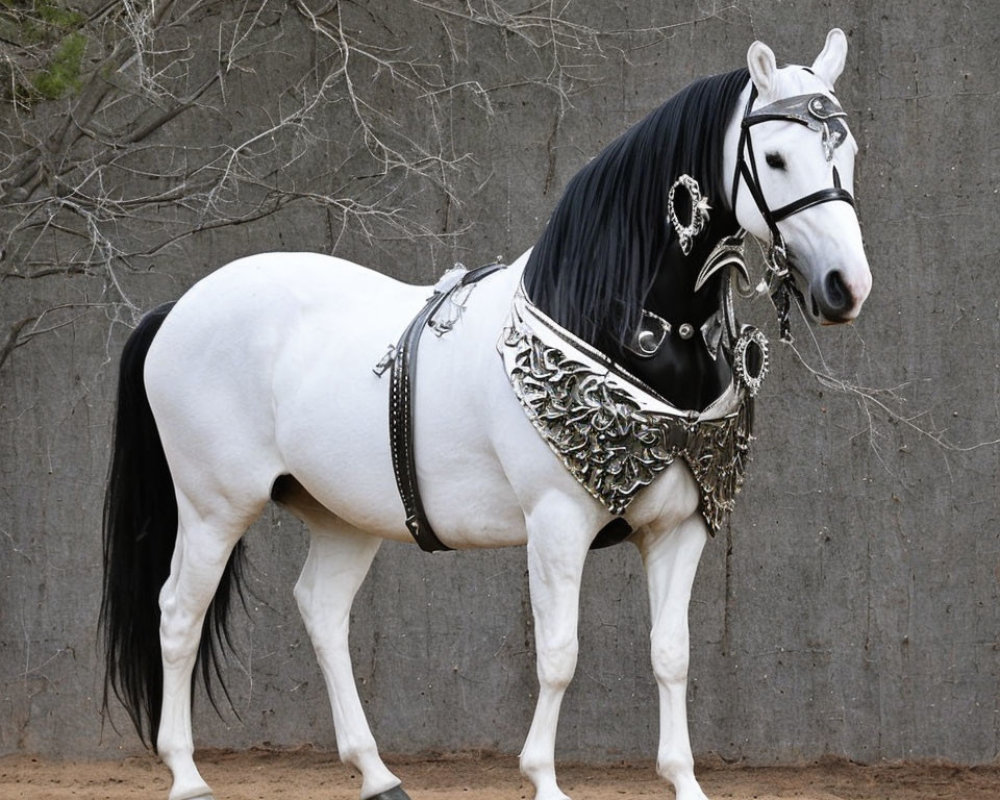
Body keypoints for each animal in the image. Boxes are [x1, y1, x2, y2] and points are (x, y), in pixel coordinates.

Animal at [99, 29, 868, 800]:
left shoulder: (678, 530)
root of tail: (177, 309)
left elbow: (671, 654)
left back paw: (376, 773)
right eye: (776, 158)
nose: (845, 287)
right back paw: (186, 773)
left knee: (321, 611)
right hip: (214, 508)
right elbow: (559, 653)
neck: (608, 322)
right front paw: (544, 780)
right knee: (178, 615)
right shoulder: (557, 523)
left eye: (851, 152)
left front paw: (683, 780)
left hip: (342, 517)